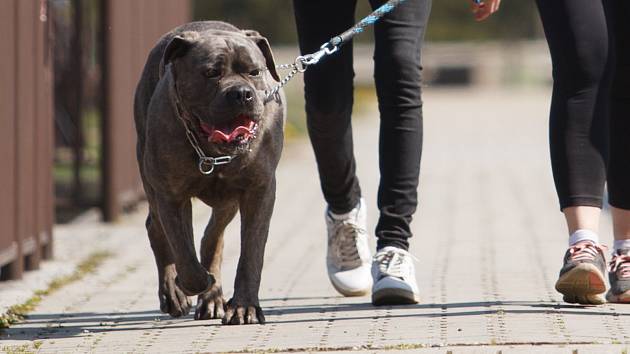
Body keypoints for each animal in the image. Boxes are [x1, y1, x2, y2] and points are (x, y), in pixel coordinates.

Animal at [135, 21, 286, 326]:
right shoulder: (171, 195)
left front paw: (244, 307)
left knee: (211, 238)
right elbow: (183, 251)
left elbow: (252, 252)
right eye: (211, 73)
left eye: (254, 71)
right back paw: (175, 293)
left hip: (227, 201)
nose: (241, 93)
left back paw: (213, 298)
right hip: (151, 182)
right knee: (157, 228)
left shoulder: (260, 190)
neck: (213, 151)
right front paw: (194, 282)